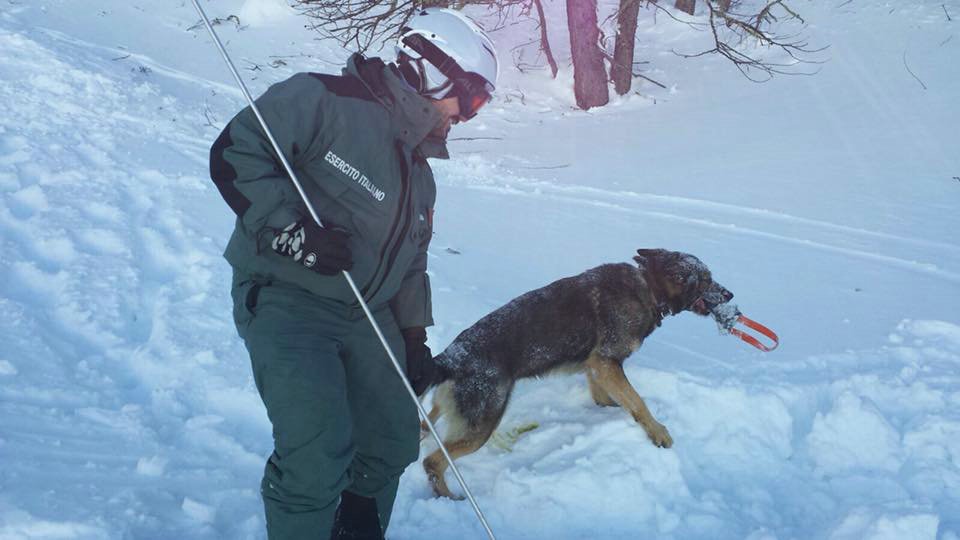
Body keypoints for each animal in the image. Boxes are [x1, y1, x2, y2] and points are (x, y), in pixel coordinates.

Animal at [422, 248, 736, 498]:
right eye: (706, 279)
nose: (730, 293)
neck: (648, 287)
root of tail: (449, 358)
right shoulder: (606, 362)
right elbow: (638, 402)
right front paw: (657, 431)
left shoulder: (596, 367)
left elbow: (606, 397)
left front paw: (606, 410)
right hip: (481, 427)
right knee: (432, 462)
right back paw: (449, 499)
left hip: (448, 413)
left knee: (428, 427)